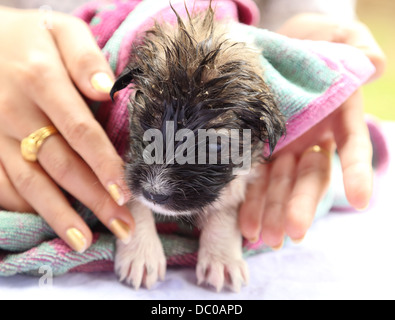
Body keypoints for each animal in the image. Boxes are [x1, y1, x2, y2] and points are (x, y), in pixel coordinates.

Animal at [113, 6, 286, 292]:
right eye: (146, 122)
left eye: (214, 145)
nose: (154, 194)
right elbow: (131, 199)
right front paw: (141, 253)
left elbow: (226, 204)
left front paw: (222, 258)